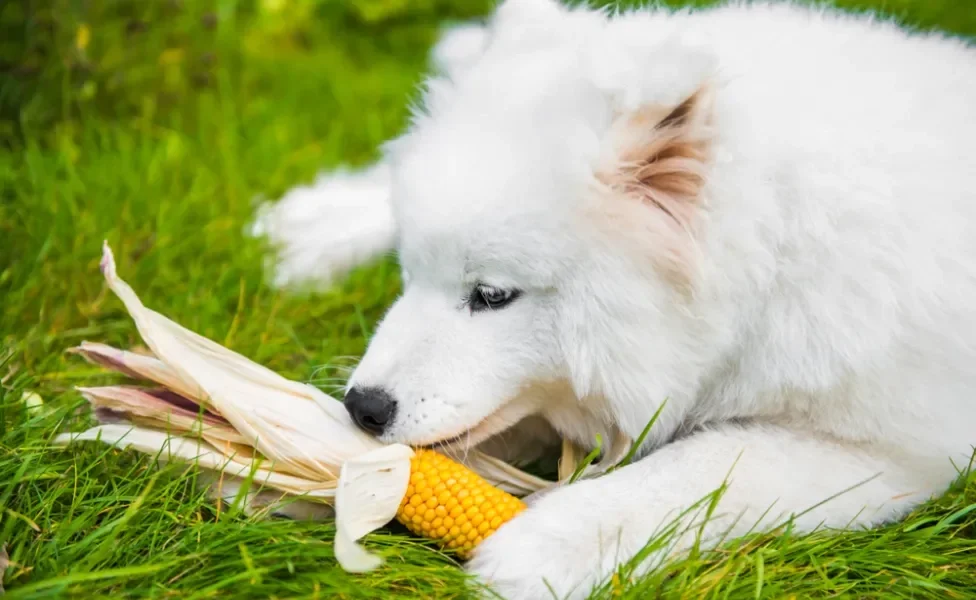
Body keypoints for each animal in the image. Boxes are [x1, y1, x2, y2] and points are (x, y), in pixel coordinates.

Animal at [254, 2, 976, 596]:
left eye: (491, 294)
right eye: (409, 276)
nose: (363, 408)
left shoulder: (890, 449)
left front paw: (546, 544)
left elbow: (703, 466)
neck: (779, 247)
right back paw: (313, 228)